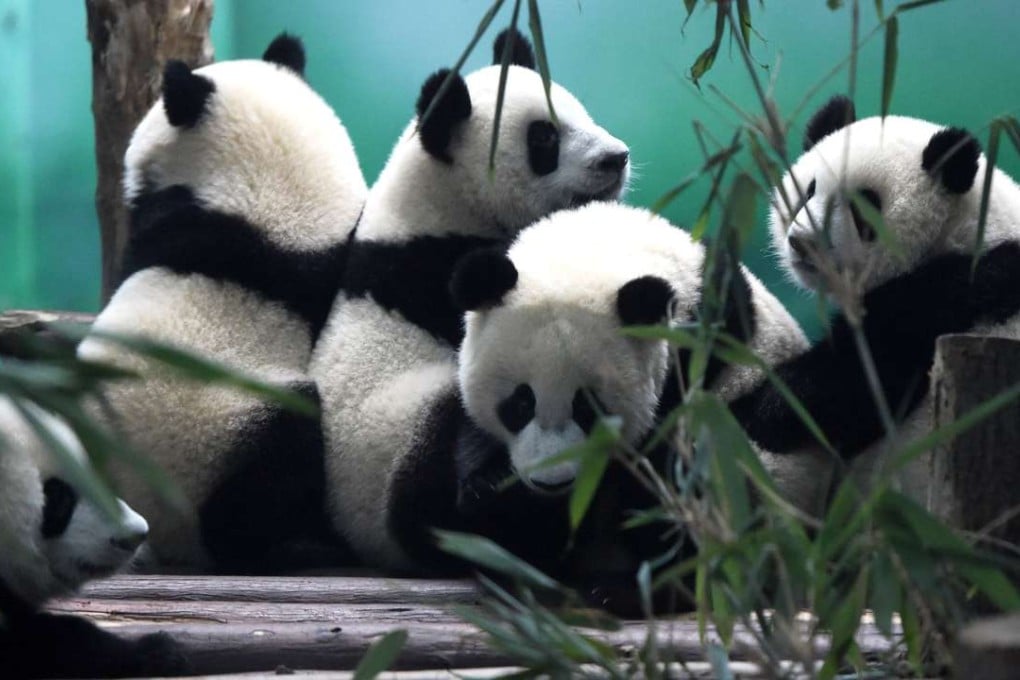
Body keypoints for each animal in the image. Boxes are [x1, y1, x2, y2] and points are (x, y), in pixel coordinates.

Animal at [310, 28, 631, 573]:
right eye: (544, 138)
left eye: (580, 112)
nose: (617, 157)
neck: (441, 203)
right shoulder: (444, 267)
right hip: (393, 454)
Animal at [448, 202, 827, 610]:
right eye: (520, 403)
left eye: (589, 409)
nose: (553, 482)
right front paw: (495, 493)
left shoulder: (700, 352)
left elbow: (660, 467)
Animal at [728, 95, 1020, 501]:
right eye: (809, 190)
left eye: (862, 205)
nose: (803, 242)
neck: (960, 228)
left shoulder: (948, 298)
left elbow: (852, 385)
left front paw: (758, 410)